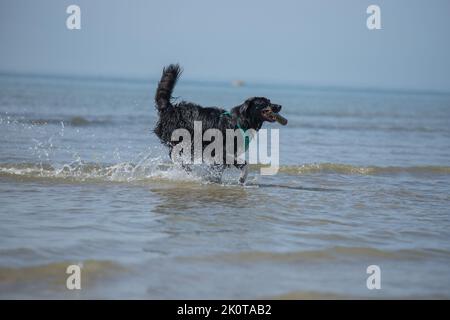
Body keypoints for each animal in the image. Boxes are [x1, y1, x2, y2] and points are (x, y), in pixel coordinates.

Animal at [153, 63, 286, 184]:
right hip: (184, 141)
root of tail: (170, 109)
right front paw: (240, 178)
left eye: (269, 101)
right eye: (264, 103)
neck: (239, 121)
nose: (279, 106)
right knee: (177, 157)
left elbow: (224, 168)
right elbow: (243, 164)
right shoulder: (219, 151)